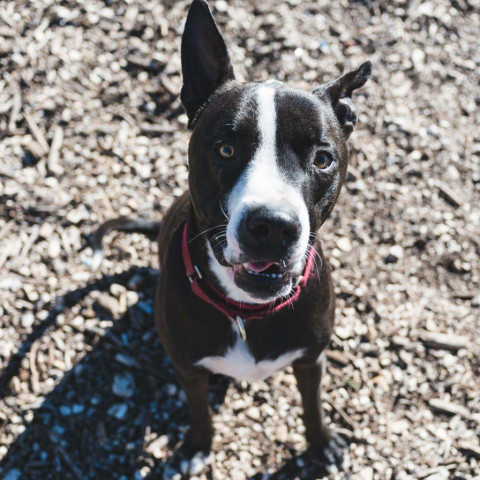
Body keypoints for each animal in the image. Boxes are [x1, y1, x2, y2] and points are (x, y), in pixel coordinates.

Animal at [92, 1, 374, 478]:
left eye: (322, 159)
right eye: (226, 149)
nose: (273, 226)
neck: (247, 312)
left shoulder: (311, 358)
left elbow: (312, 405)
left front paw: (322, 444)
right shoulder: (188, 369)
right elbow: (198, 410)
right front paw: (195, 447)